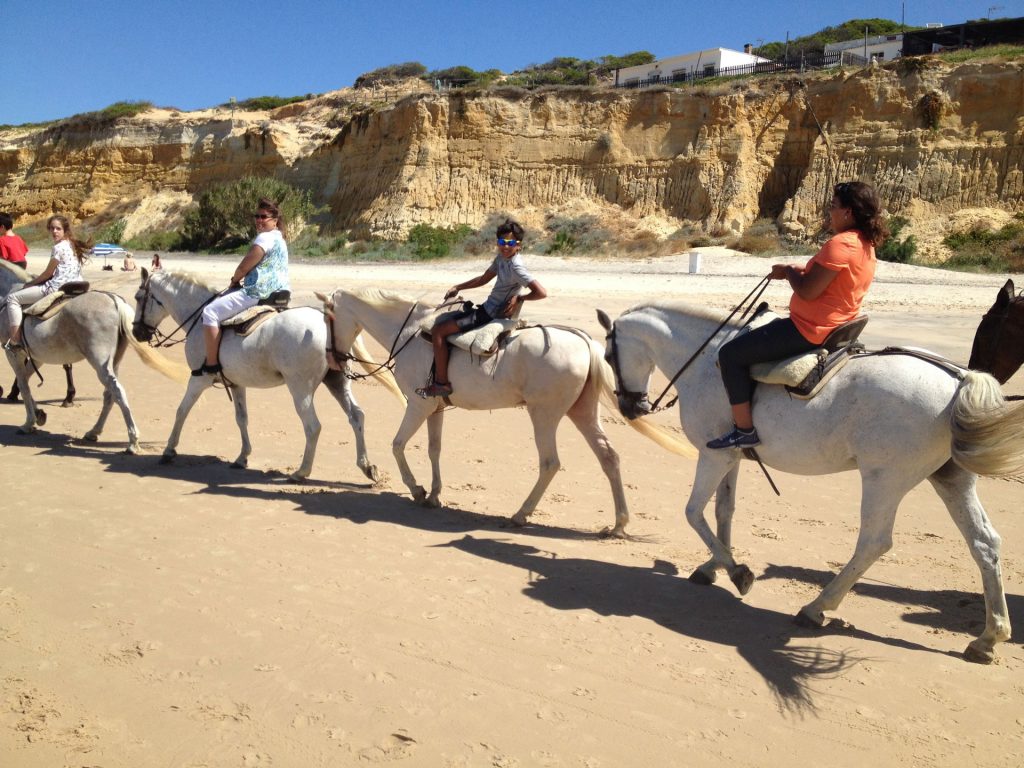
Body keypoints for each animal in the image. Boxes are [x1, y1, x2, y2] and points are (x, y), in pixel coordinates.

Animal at [0, 262, 187, 450]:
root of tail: (114, 301)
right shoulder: (37, 358)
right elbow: (25, 381)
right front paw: (38, 414)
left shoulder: (12, 353)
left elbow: (23, 385)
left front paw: (28, 423)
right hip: (113, 363)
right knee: (110, 395)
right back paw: (94, 432)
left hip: (100, 364)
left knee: (117, 391)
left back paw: (132, 441)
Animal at [136, 272, 403, 481]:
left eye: (139, 298)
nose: (136, 332)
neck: (199, 317)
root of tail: (326, 321)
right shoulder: (236, 384)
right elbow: (241, 419)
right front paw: (242, 457)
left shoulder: (199, 379)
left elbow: (181, 411)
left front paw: (169, 451)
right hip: (337, 381)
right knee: (356, 416)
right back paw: (366, 466)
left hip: (300, 389)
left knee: (313, 426)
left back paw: (301, 472)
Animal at [315, 286, 692, 536]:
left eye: (328, 318)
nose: (333, 360)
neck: (409, 333)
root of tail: (585, 341)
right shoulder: (434, 408)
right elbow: (434, 449)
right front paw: (434, 494)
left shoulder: (417, 405)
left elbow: (397, 445)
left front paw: (417, 490)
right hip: (582, 413)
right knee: (609, 458)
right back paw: (618, 524)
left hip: (544, 415)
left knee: (550, 463)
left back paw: (521, 514)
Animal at [598, 303, 1024, 663]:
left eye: (608, 358)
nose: (631, 408)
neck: (706, 361)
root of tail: (959, 379)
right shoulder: (730, 455)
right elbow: (723, 511)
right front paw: (714, 566)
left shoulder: (713, 456)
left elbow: (693, 512)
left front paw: (736, 572)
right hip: (951, 478)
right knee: (984, 543)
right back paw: (988, 638)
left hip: (884, 480)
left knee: (874, 543)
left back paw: (816, 608)